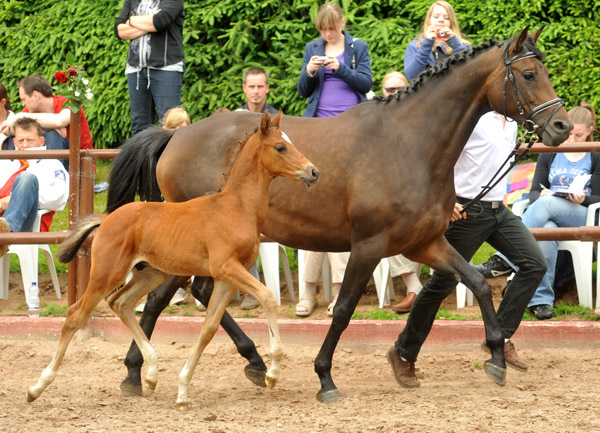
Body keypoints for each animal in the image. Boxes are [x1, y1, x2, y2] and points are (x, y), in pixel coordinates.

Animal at [27, 110, 318, 408]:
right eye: (280, 147)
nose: (313, 171)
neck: (236, 207)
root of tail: (106, 219)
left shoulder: (227, 278)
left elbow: (209, 328)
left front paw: (182, 391)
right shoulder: (227, 268)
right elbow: (268, 298)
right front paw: (272, 373)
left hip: (151, 273)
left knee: (120, 303)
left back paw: (151, 373)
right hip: (107, 273)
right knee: (76, 314)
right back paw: (37, 387)